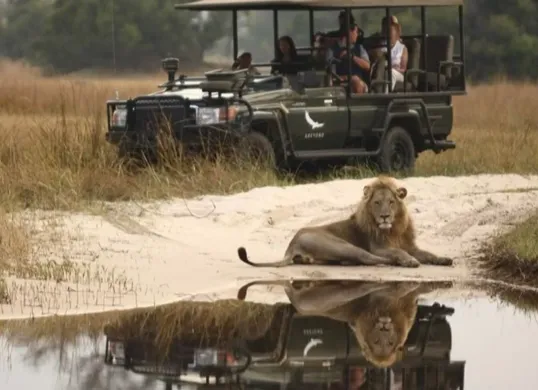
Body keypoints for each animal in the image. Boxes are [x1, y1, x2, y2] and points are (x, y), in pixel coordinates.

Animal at [237, 175, 450, 266]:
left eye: (391, 202)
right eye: (377, 203)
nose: (384, 216)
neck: (393, 228)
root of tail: (291, 244)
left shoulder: (411, 245)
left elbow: (428, 253)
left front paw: (443, 259)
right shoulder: (379, 247)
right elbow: (397, 252)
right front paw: (409, 260)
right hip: (341, 245)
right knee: (367, 257)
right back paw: (392, 263)